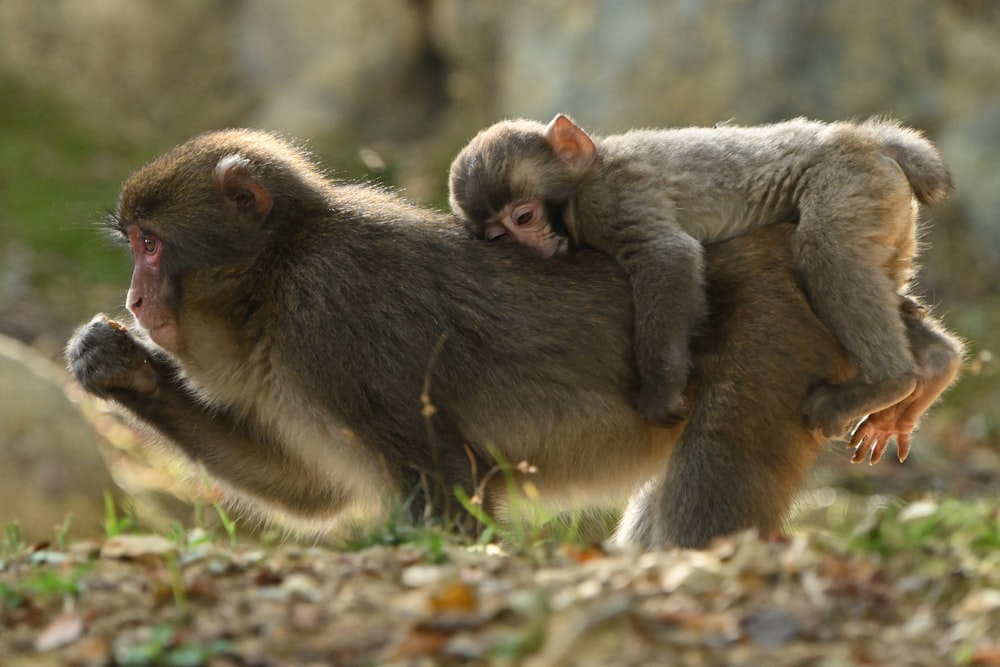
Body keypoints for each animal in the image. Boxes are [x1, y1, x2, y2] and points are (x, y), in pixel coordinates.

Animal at [452, 115, 952, 438]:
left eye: (524, 216)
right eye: (499, 236)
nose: (531, 246)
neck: (588, 172)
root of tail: (869, 139)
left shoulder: (607, 199)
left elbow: (668, 258)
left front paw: (660, 390)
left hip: (852, 182)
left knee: (824, 244)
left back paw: (889, 382)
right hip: (888, 214)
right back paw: (935, 365)